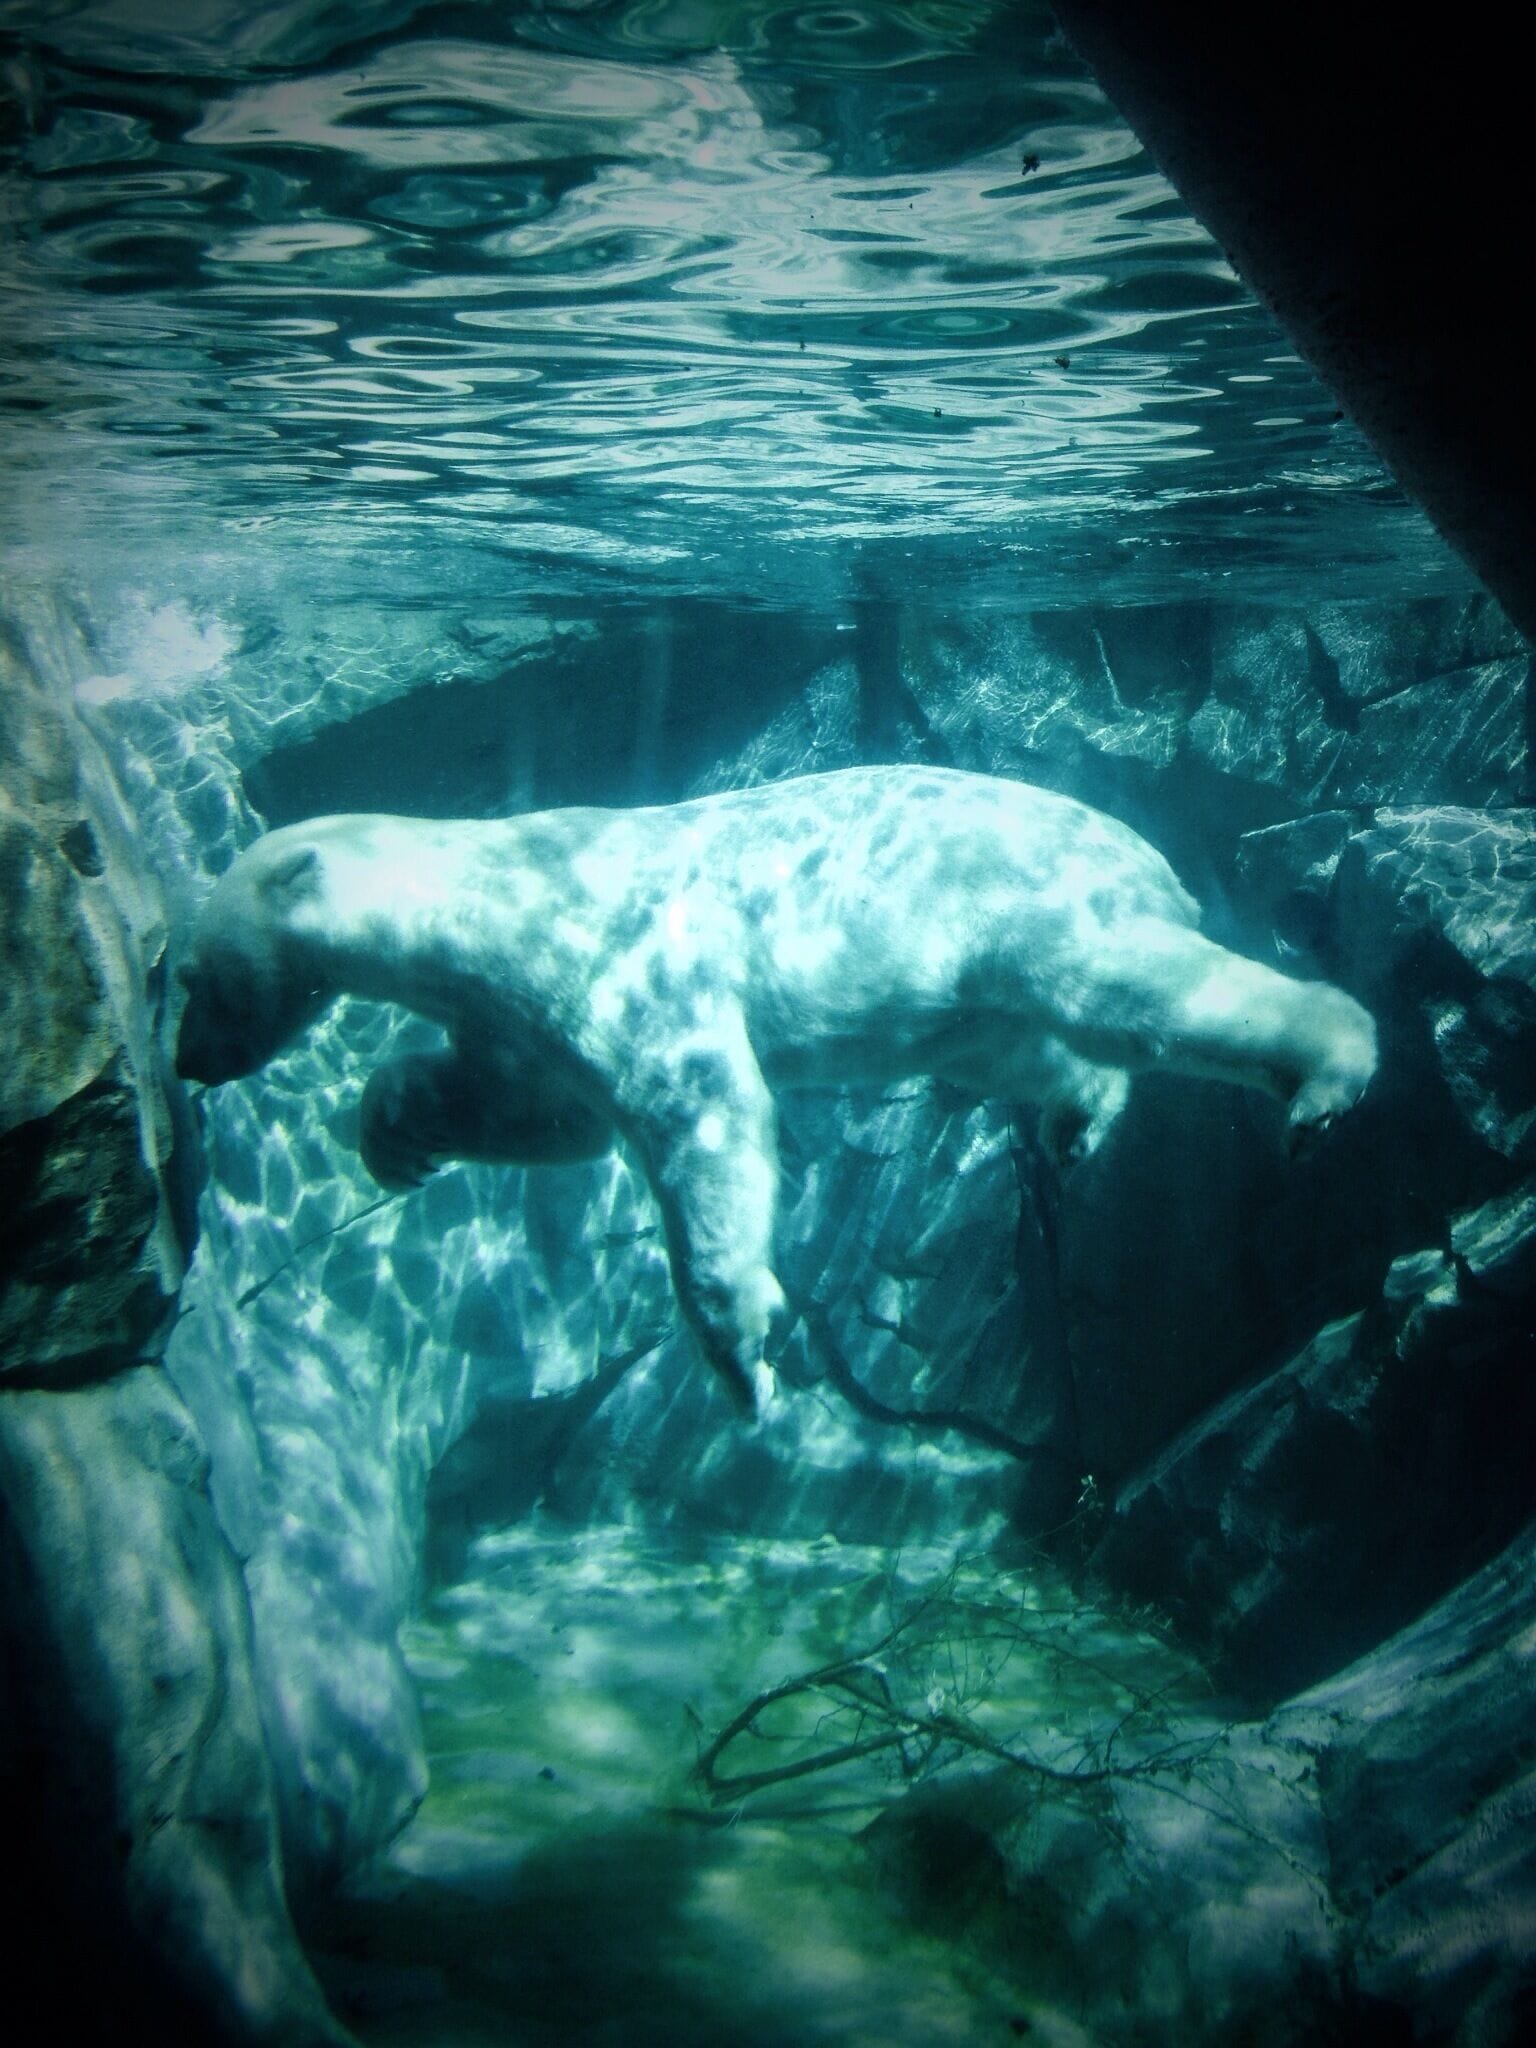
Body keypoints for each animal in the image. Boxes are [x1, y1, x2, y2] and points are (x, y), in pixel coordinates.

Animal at [175, 765, 1377, 1417]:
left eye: (187, 976)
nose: (187, 1063)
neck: (486, 892)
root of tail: (1146, 851)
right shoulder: (521, 1014)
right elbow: (534, 1113)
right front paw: (394, 1134)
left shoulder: (623, 962)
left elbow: (701, 1118)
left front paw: (739, 1352)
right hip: (970, 991)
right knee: (1025, 1044)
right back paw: (1077, 1115)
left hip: (1027, 903)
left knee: (1128, 990)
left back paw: (1329, 1071)